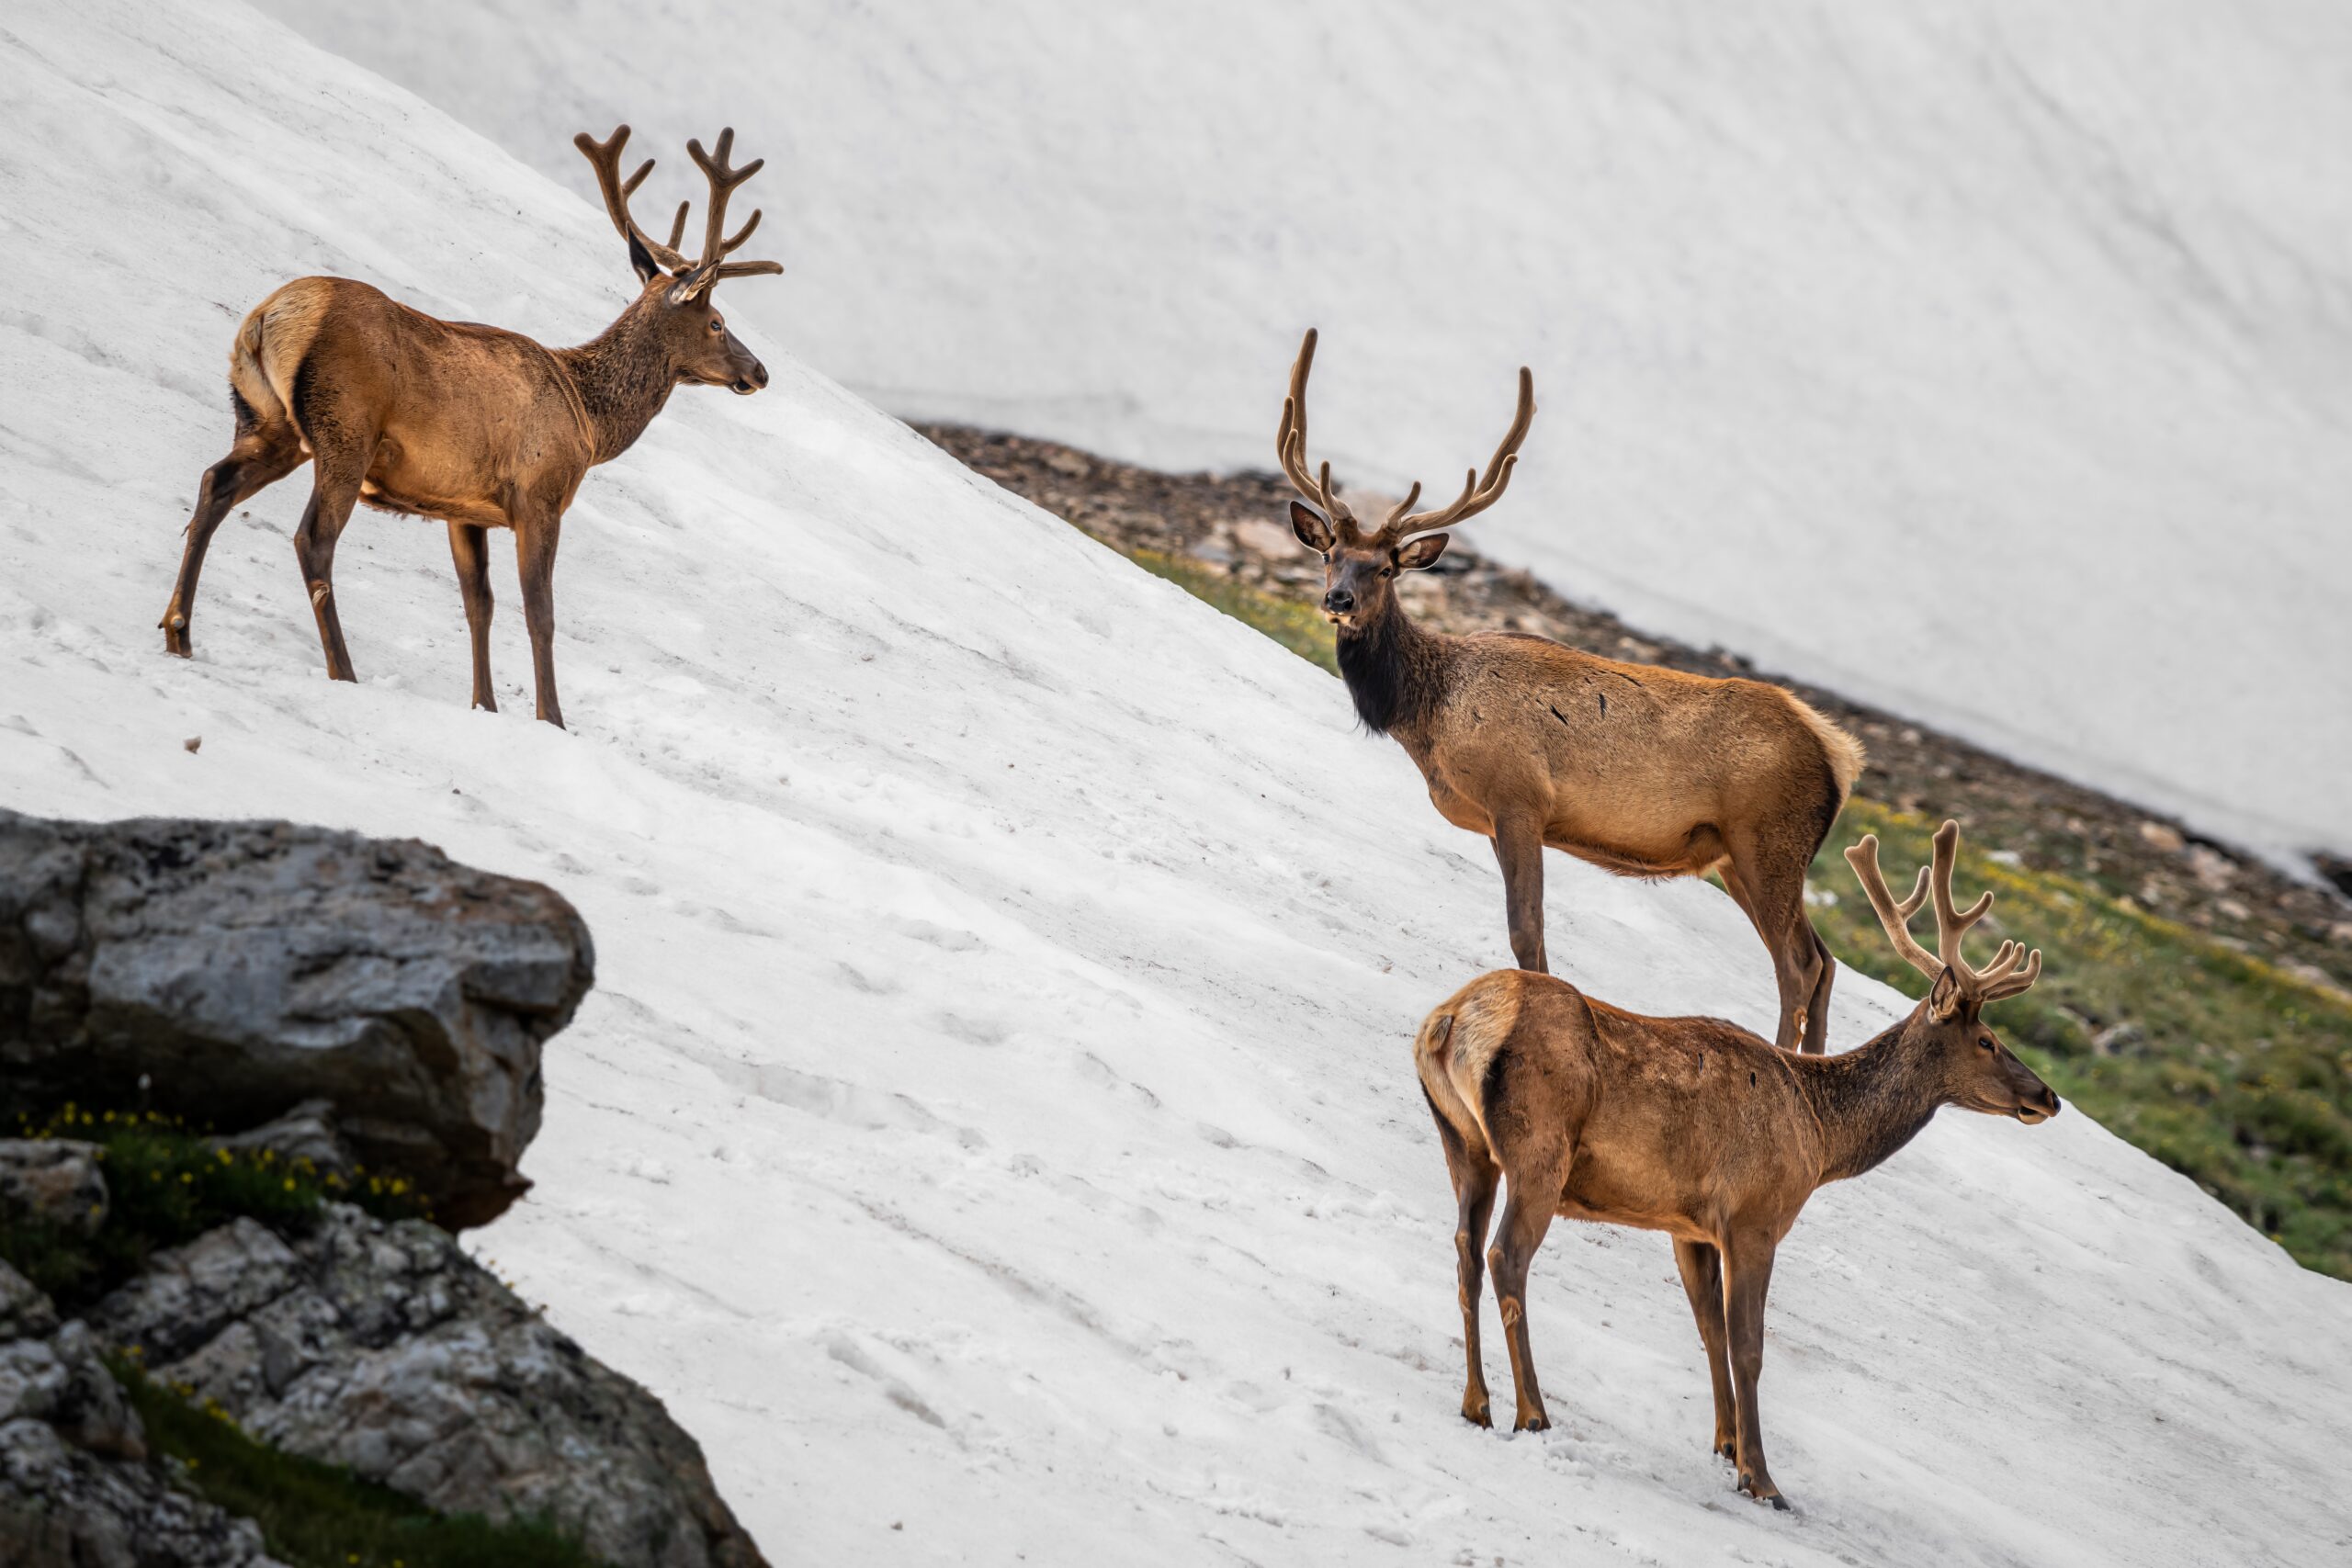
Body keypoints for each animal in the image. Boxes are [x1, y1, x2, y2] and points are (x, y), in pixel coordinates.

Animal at [157, 125, 785, 728]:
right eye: (717, 322)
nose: (760, 371)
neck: (589, 420)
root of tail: (268, 318)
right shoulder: (538, 495)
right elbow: (540, 612)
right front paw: (552, 719)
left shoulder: (464, 508)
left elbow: (478, 604)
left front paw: (485, 705)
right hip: (346, 432)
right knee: (313, 538)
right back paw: (343, 670)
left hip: (268, 420)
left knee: (215, 482)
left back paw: (179, 630)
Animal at [1275, 329, 1866, 1051]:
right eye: (1329, 553)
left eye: (1386, 568)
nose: (1338, 600)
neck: (1429, 715)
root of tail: (1840, 754)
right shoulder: (1496, 817)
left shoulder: (1518, 797)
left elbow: (1527, 932)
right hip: (1743, 856)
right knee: (1826, 961)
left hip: (1768, 840)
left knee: (1798, 965)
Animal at [1414, 819, 2057, 1509]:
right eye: (1988, 1041)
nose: (2048, 1096)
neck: (1819, 1135)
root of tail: (1448, 1022)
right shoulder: (1754, 1216)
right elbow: (1748, 1345)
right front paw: (1762, 1478)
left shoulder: (1688, 1225)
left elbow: (1709, 1329)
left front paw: (1725, 1444)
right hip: (1540, 1151)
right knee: (1506, 1256)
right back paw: (1532, 1411)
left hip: (1465, 1145)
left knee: (1464, 1249)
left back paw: (1477, 1403)